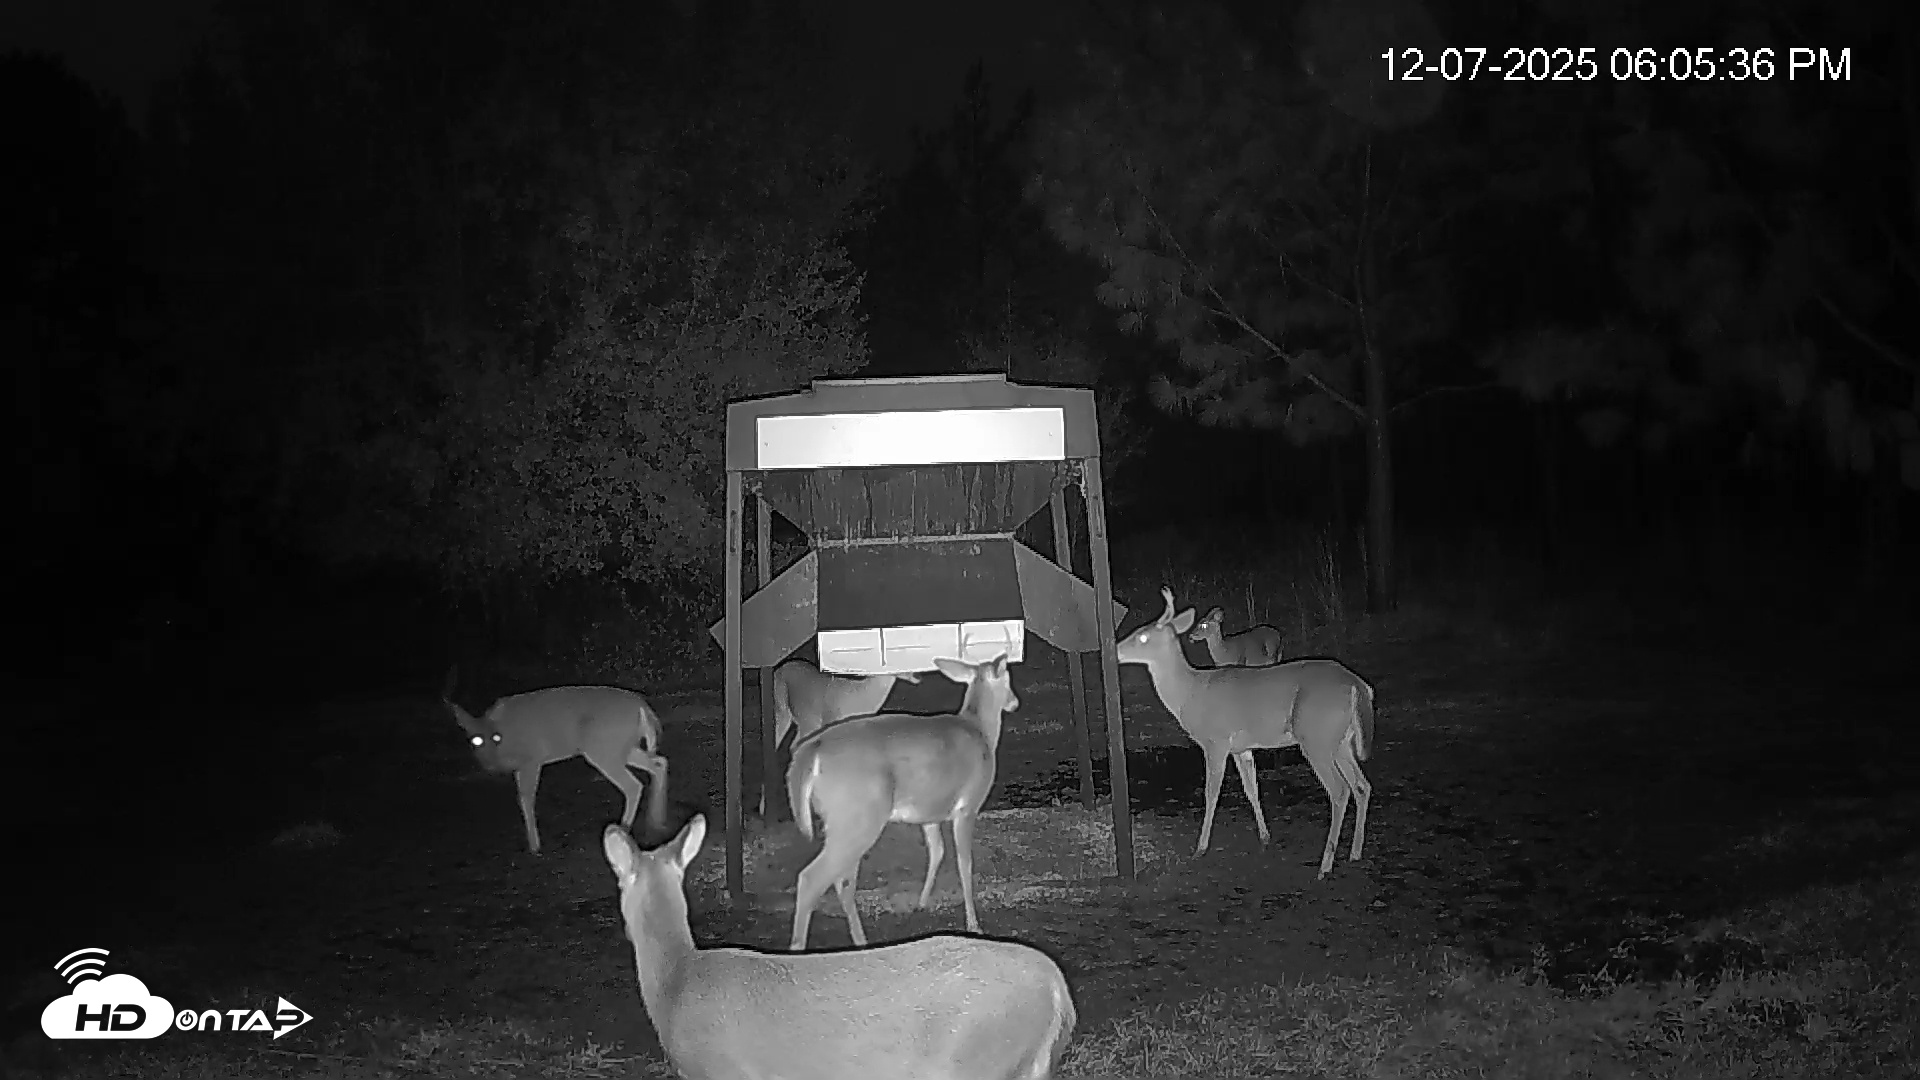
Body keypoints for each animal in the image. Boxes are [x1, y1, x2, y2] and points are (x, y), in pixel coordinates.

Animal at [442, 666, 669, 854]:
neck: (507, 740)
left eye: (496, 737)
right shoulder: (519, 766)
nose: (489, 764)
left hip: (603, 748)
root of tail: (643, 708)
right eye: (475, 740)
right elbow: (521, 798)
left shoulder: (532, 758)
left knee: (633, 785)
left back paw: (624, 830)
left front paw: (535, 847)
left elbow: (527, 798)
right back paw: (655, 824)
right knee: (659, 763)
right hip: (621, 747)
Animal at [758, 659, 921, 817]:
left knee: (793, 747)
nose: (916, 675)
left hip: (804, 724)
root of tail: (780, 668)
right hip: (783, 715)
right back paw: (764, 808)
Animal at [785, 654, 1017, 951]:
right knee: (812, 878)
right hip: (858, 815)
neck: (981, 731)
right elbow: (965, 863)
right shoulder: (968, 806)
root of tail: (811, 751)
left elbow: (937, 850)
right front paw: (974, 924)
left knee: (842, 880)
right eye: (1007, 678)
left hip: (843, 820)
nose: (1014, 702)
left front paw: (921, 903)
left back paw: (861, 940)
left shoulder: (929, 811)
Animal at [1117, 588, 1374, 878]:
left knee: (1340, 790)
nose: (1115, 650)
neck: (1189, 693)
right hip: (1341, 740)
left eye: (1142, 636)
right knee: (1362, 785)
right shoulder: (1241, 747)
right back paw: (1355, 853)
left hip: (1315, 736)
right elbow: (1252, 789)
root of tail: (1359, 686)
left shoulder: (1215, 741)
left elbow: (1211, 793)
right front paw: (1265, 836)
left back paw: (1325, 866)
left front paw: (1200, 848)